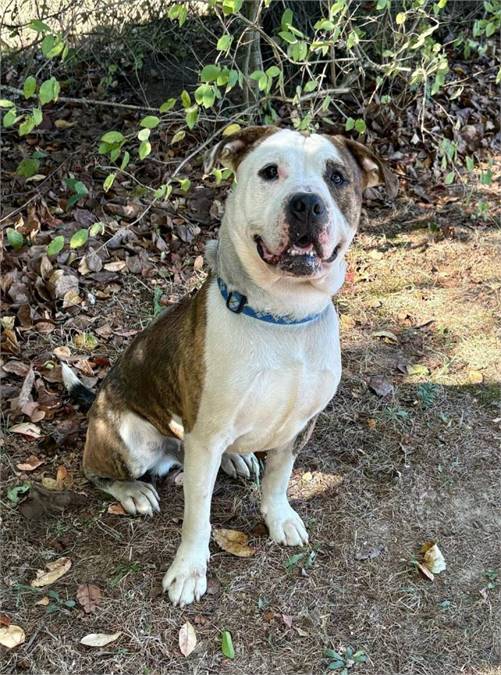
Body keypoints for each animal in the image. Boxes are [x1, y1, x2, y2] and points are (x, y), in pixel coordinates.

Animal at [64, 125, 396, 608]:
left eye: (336, 177)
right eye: (270, 171)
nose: (306, 203)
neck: (282, 317)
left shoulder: (300, 425)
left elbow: (278, 479)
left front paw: (278, 518)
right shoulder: (206, 436)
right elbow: (197, 517)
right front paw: (188, 570)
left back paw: (237, 459)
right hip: (128, 437)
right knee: (97, 471)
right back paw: (134, 491)